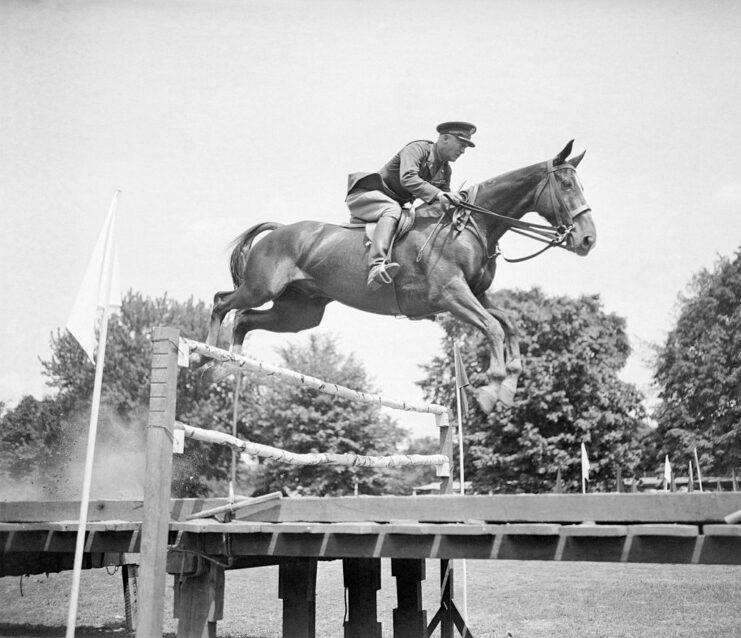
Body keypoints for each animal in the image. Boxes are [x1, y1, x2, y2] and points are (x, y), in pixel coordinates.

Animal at [201, 141, 596, 412]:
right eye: (566, 185)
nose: (587, 239)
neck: (472, 225)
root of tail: (279, 230)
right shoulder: (452, 294)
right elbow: (494, 328)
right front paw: (489, 391)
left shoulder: (477, 295)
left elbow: (508, 324)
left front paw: (509, 387)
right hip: (261, 287)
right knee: (223, 302)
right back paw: (207, 358)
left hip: (299, 313)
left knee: (245, 319)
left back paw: (226, 368)